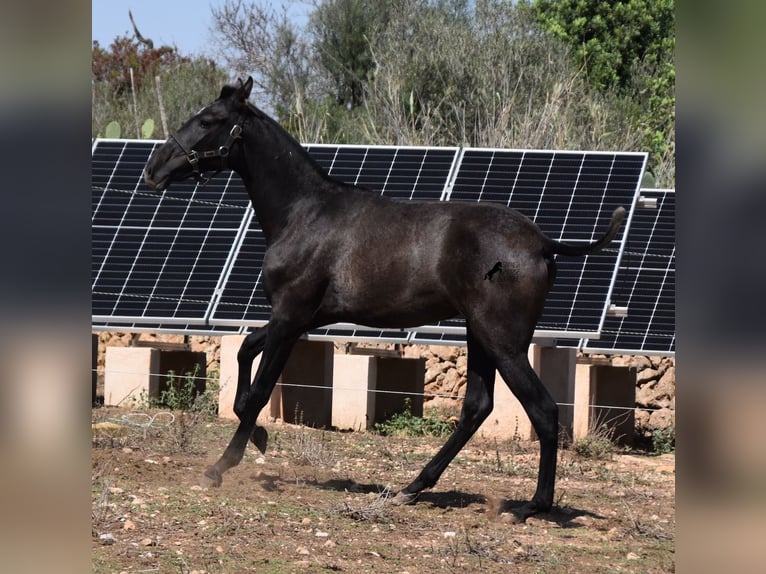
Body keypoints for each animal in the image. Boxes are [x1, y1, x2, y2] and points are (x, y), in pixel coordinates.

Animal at [146, 76, 632, 520]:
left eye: (208, 120)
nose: (153, 169)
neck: (303, 213)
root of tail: (543, 243)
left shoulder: (290, 315)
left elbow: (261, 389)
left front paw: (222, 464)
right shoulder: (304, 318)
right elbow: (246, 349)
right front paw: (260, 439)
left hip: (503, 341)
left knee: (543, 410)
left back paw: (532, 505)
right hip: (479, 335)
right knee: (477, 407)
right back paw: (412, 488)